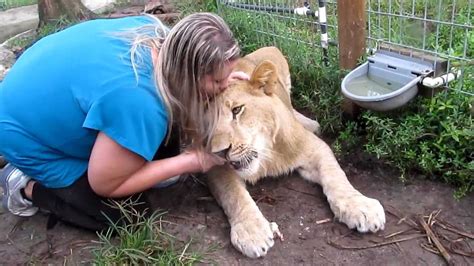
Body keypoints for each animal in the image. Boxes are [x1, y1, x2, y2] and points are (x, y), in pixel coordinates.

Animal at [206, 46, 386, 258]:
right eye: (206, 124)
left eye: (237, 110)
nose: (219, 152)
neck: (266, 157)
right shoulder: (215, 168)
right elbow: (233, 194)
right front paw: (252, 232)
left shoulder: (315, 147)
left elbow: (336, 175)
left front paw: (360, 207)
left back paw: (310, 123)